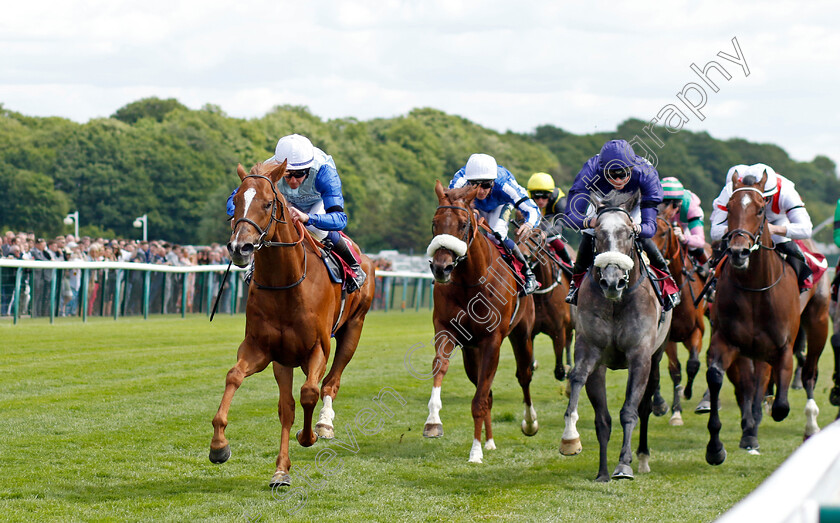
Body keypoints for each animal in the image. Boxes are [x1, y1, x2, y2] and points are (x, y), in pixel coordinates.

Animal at [207, 160, 374, 488]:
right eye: (236, 202)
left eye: (267, 203)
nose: (240, 247)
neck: (285, 284)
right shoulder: (264, 351)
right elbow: (236, 378)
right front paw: (220, 446)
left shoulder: (317, 348)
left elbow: (309, 392)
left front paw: (308, 436)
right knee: (287, 406)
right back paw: (281, 470)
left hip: (354, 329)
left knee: (330, 383)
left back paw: (324, 425)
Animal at [426, 180, 540, 462]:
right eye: (435, 223)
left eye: (462, 225)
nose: (441, 268)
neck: (471, 281)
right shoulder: (445, 329)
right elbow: (440, 366)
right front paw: (433, 421)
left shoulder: (492, 341)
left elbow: (479, 400)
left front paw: (475, 452)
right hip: (471, 353)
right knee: (486, 390)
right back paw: (489, 441)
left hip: (522, 334)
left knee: (524, 375)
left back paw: (529, 423)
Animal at [560, 191, 672, 484]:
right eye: (596, 234)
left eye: (630, 234)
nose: (612, 281)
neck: (616, 302)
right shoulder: (591, 351)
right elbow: (597, 411)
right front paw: (572, 440)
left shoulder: (640, 356)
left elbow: (629, 411)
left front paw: (623, 465)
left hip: (657, 356)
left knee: (645, 406)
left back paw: (642, 458)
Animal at [648, 214, 708, 426]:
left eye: (664, 233)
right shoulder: (669, 337)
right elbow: (674, 370)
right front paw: (674, 411)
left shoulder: (697, 330)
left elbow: (693, 364)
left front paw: (687, 392)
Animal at [704, 172, 832, 466]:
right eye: (730, 208)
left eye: (760, 209)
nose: (738, 252)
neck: (755, 288)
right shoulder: (727, 341)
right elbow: (718, 377)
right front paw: (716, 448)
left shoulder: (782, 346)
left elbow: (782, 405)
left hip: (818, 321)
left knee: (809, 373)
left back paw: (810, 425)